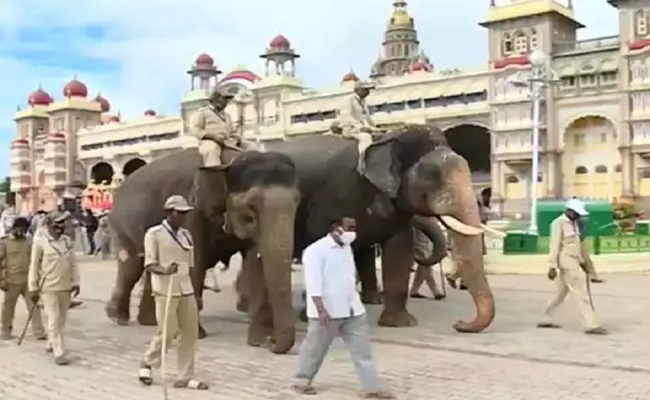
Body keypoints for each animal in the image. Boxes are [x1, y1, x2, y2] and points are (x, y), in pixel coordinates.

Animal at [105, 148, 298, 354]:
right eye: (251, 207)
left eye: (297, 203)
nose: (273, 341)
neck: (229, 161)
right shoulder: (193, 210)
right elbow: (193, 262)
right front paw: (195, 334)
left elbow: (255, 263)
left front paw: (259, 342)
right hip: (121, 226)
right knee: (131, 267)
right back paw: (118, 318)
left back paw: (149, 322)